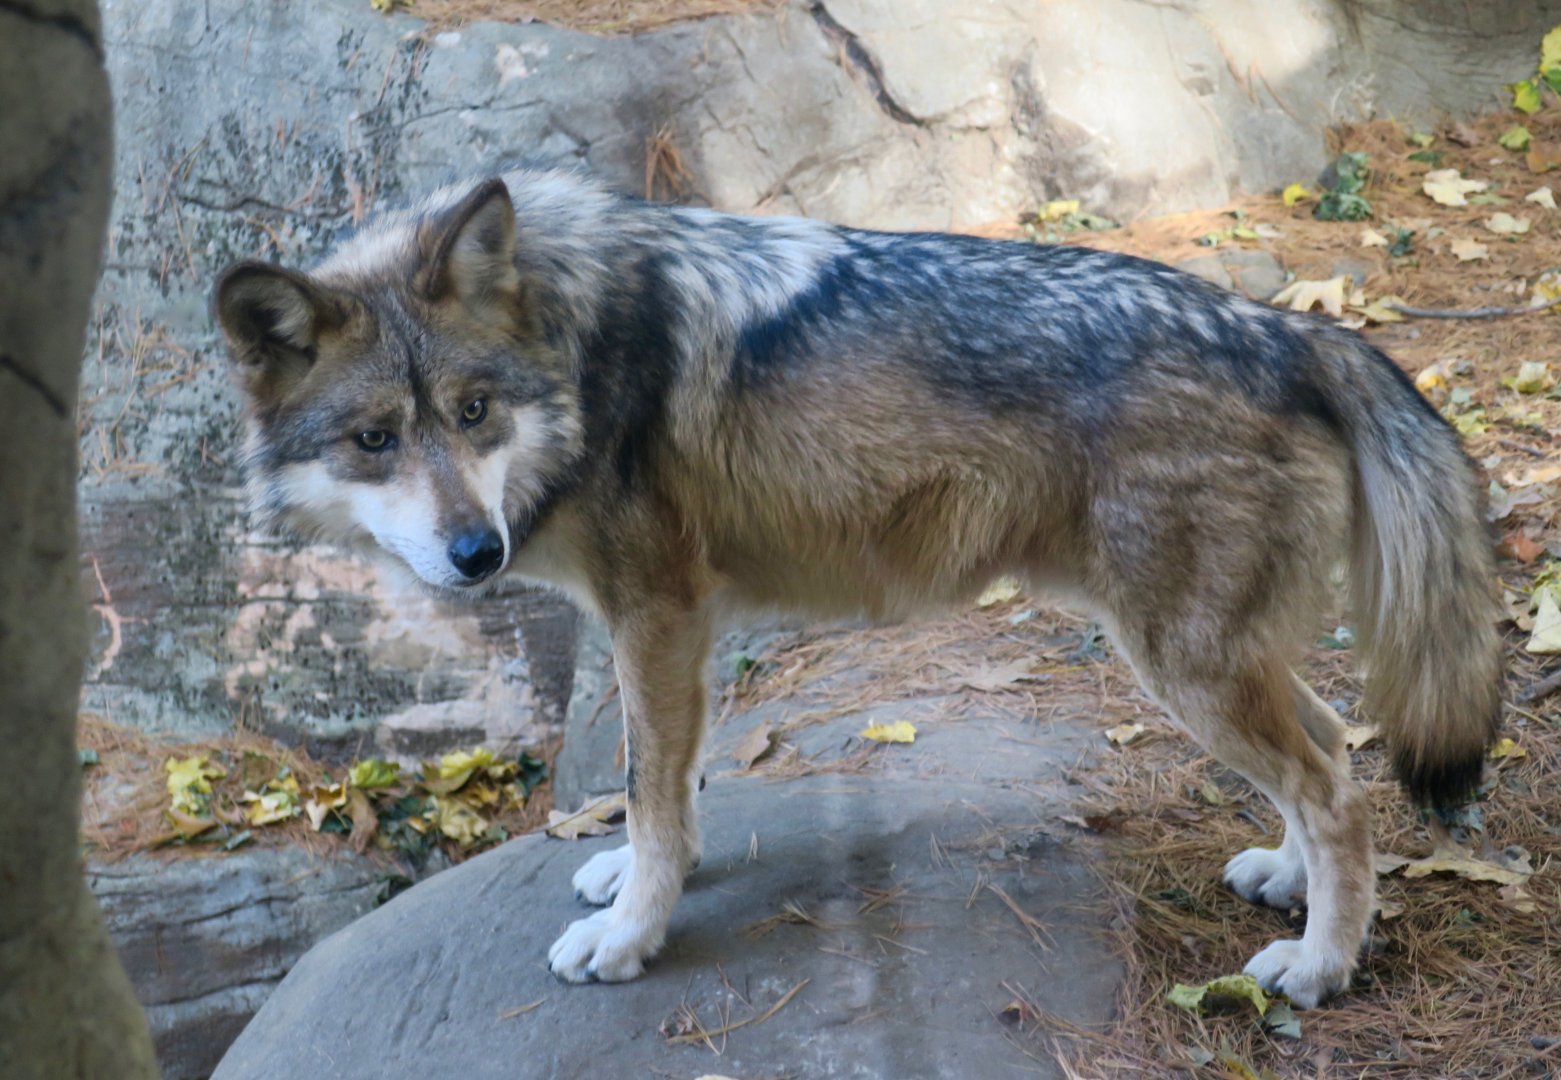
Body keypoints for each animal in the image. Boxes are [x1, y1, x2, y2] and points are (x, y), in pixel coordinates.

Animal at [213, 169, 1500, 1008]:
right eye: (376, 439)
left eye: (473, 413)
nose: (474, 554)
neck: (571, 342)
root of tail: (1293, 330)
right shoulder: (679, 627)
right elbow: (669, 784)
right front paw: (641, 882)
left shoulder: (651, 616)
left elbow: (643, 786)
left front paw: (631, 936)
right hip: (1210, 661)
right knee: (1328, 747)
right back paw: (1287, 884)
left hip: (1178, 662)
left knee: (1337, 788)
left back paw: (1321, 968)